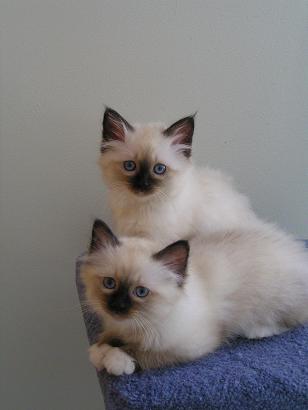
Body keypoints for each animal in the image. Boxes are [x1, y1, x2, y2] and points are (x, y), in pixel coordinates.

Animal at [82, 221, 308, 374]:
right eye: (109, 283)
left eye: (141, 292)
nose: (117, 307)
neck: (134, 325)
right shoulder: (115, 327)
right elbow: (105, 339)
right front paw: (99, 352)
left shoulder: (190, 347)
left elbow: (142, 353)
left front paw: (115, 360)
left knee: (290, 321)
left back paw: (257, 331)